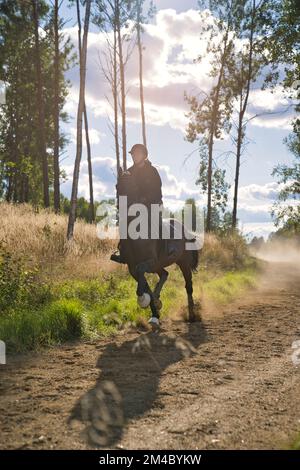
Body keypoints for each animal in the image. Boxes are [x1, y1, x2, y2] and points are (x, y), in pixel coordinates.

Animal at [116, 171, 200, 328]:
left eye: (132, 186)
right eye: (117, 185)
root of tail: (184, 229)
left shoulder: (149, 262)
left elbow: (142, 283)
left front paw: (146, 300)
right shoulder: (132, 267)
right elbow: (144, 284)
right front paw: (155, 310)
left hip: (182, 263)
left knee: (188, 286)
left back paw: (192, 315)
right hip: (159, 265)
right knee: (165, 274)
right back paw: (157, 300)